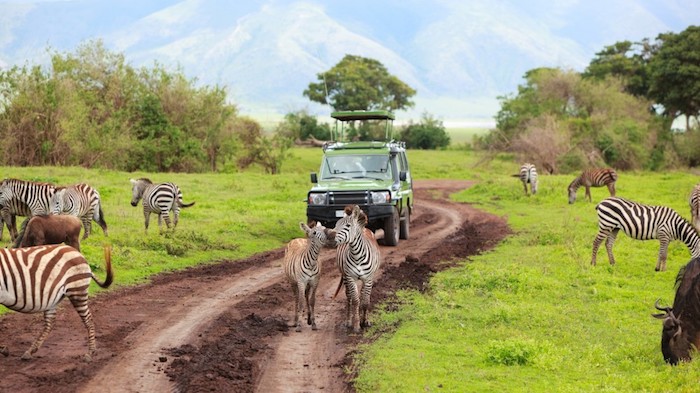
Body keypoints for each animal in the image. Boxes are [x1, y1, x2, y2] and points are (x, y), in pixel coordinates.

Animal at [330, 204, 380, 332]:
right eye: (336, 224)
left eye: (348, 226)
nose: (330, 237)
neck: (357, 255)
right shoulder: (350, 277)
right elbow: (356, 301)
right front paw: (356, 325)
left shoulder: (368, 278)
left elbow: (365, 301)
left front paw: (365, 321)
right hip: (345, 277)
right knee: (349, 298)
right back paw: (349, 321)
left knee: (363, 296)